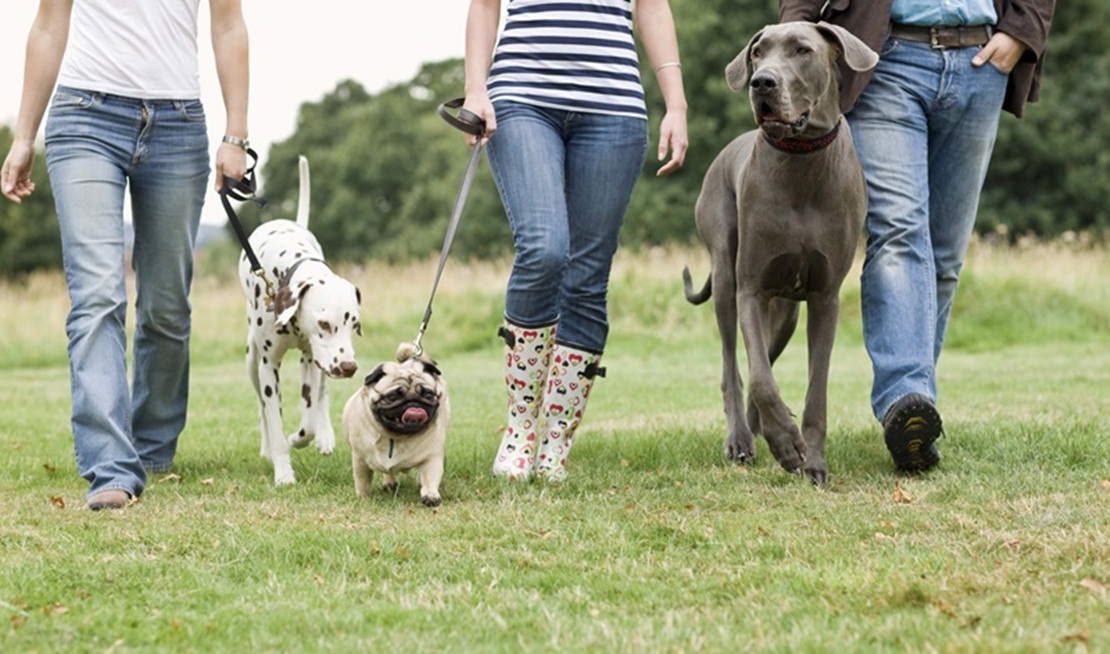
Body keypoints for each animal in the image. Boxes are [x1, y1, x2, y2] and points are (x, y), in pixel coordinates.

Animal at [239, 155, 364, 484]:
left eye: (354, 325)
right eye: (324, 324)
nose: (349, 367)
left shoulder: (312, 359)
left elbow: (308, 418)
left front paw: (302, 437)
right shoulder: (269, 367)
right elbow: (273, 421)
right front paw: (283, 471)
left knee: (322, 396)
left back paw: (325, 435)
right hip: (252, 362)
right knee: (261, 407)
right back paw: (267, 448)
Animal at [346, 341, 450, 504]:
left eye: (428, 395)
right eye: (392, 397)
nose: (413, 403)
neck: (396, 436)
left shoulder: (432, 457)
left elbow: (430, 478)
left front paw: (430, 495)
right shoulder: (359, 459)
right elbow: (362, 481)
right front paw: (363, 498)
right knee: (389, 472)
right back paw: (390, 483)